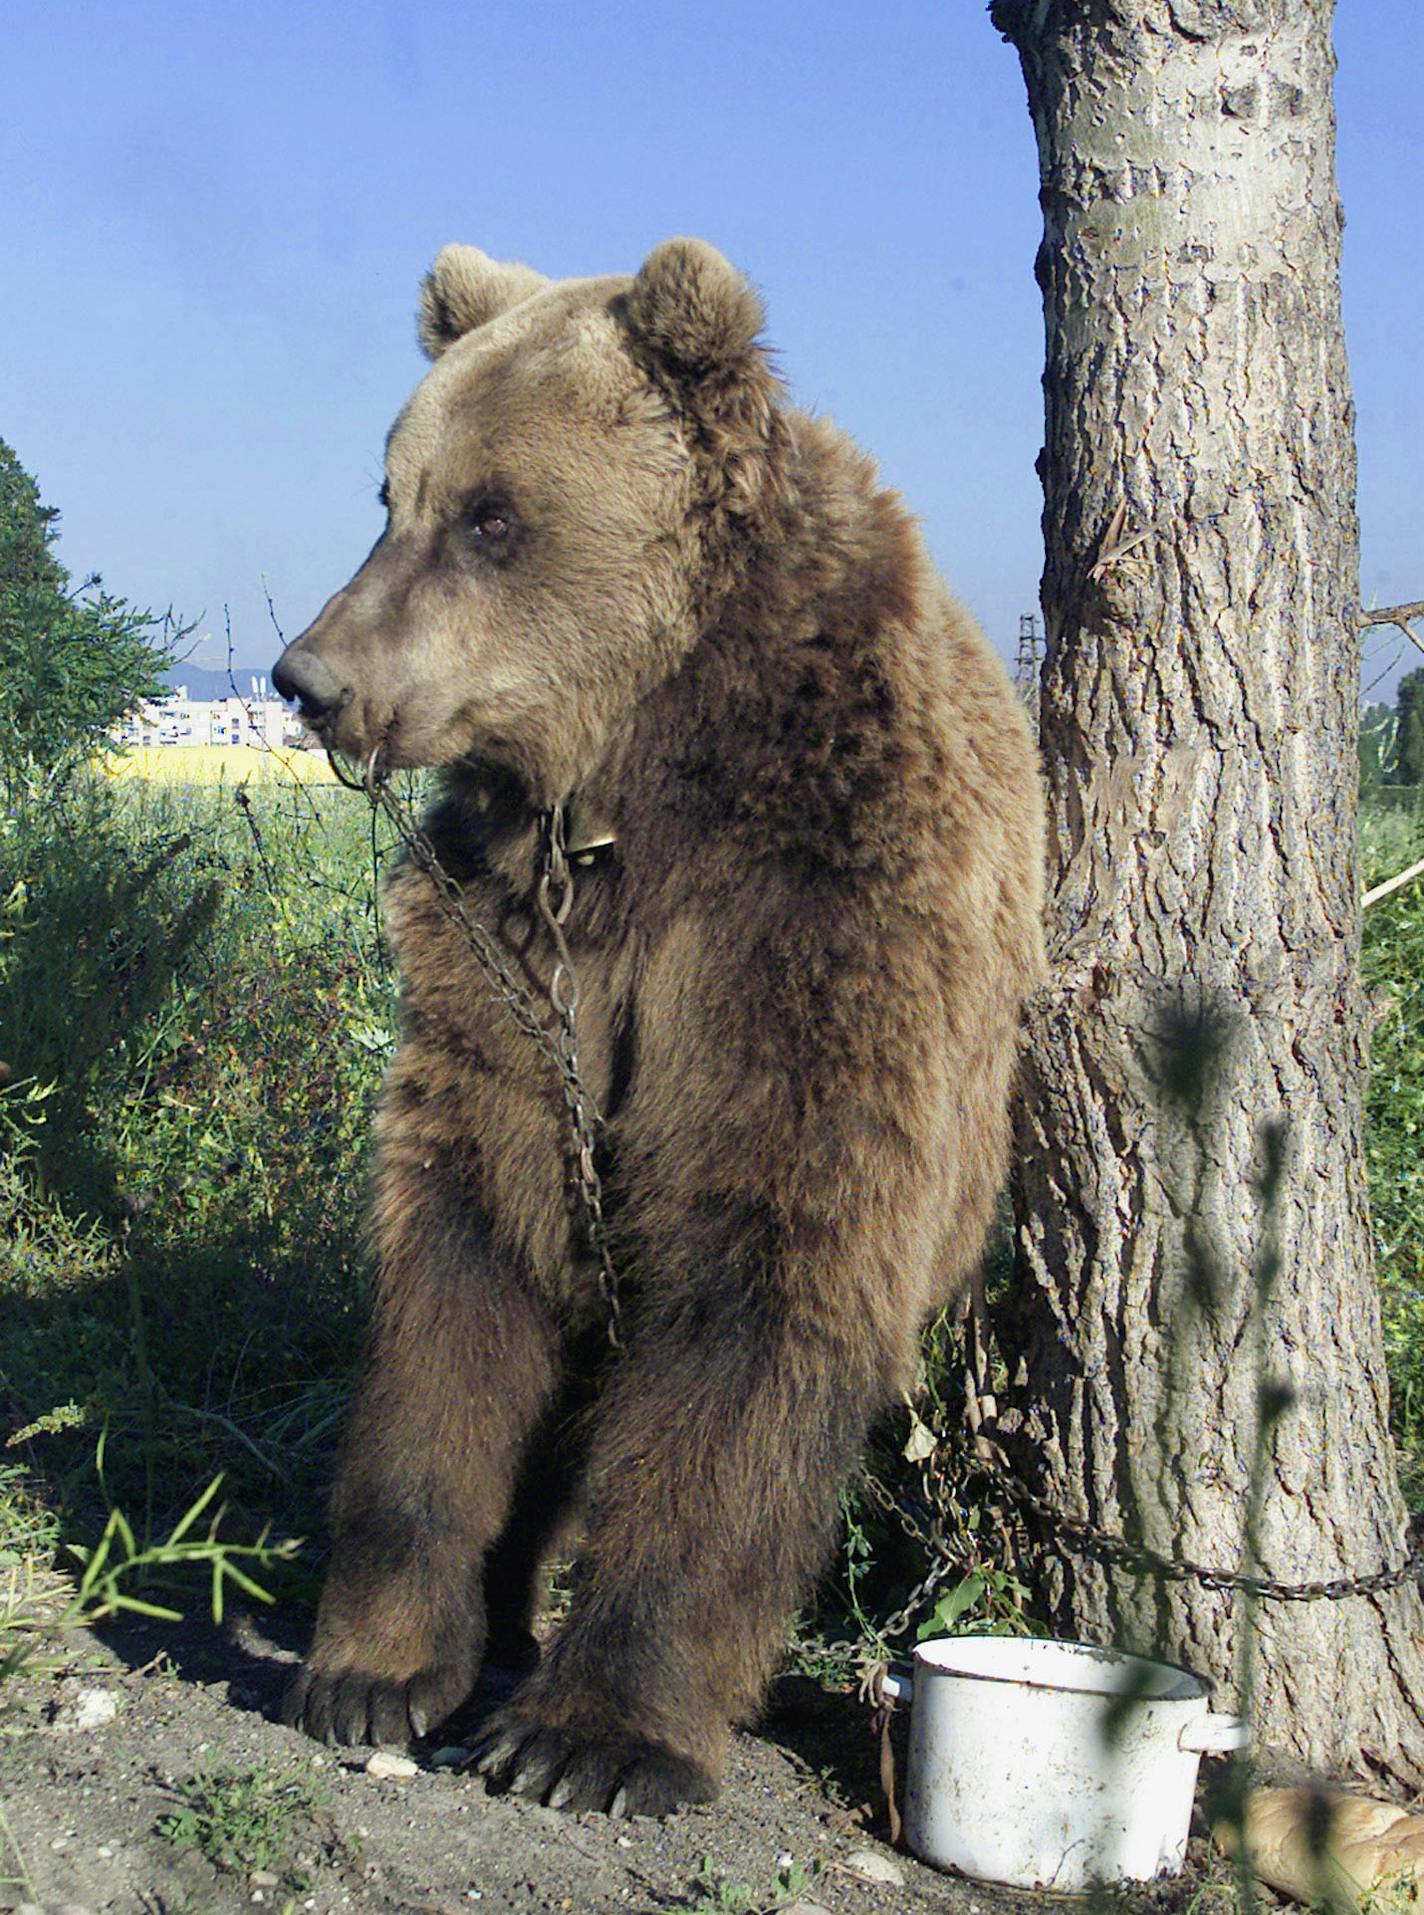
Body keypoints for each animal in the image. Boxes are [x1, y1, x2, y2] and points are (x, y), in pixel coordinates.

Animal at [271, 235, 1048, 1807]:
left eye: (493, 514)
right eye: (392, 495)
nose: (312, 678)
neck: (636, 778)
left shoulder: (817, 921)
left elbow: (763, 1258)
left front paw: (591, 1734)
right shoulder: (505, 950)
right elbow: (467, 1249)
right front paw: (375, 1666)